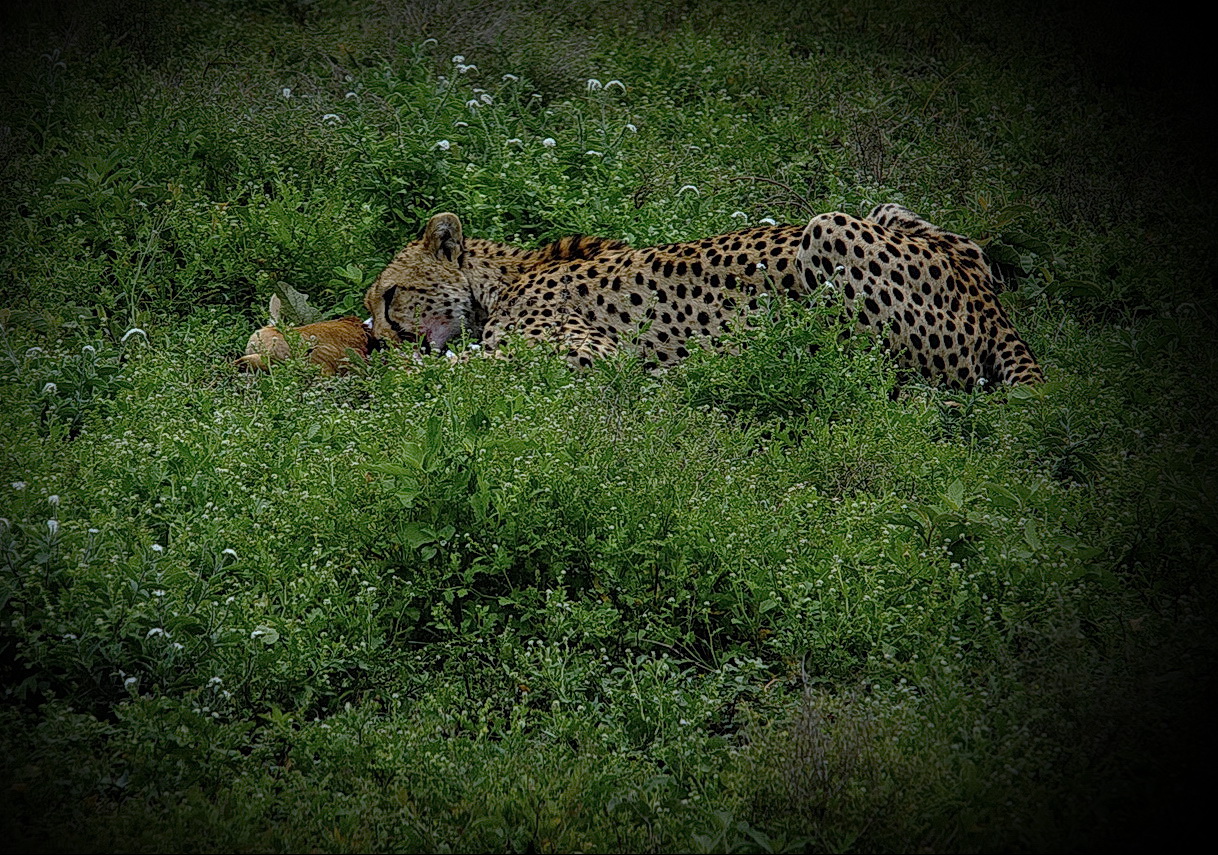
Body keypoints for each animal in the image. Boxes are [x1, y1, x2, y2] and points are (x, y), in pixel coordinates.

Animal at [365, 204, 1042, 392]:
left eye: (390, 296)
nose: (374, 336)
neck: (499, 280)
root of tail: (986, 297)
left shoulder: (590, 353)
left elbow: (460, 367)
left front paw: (387, 375)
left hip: (828, 228)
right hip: (889, 211)